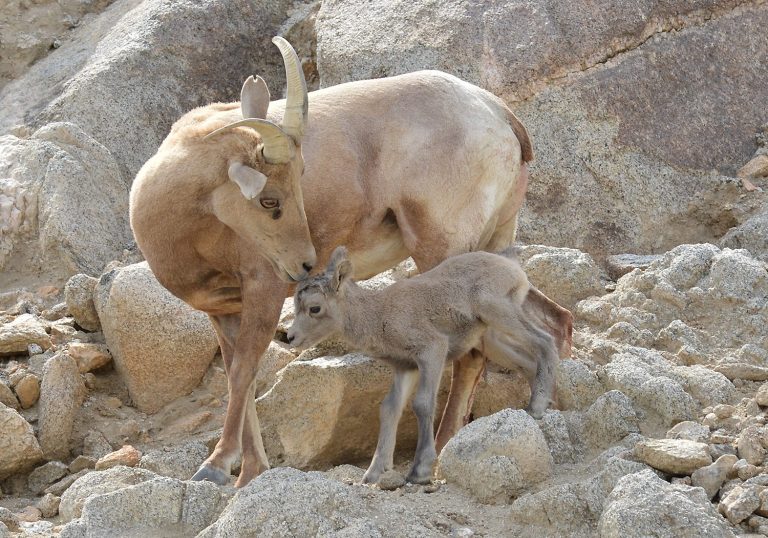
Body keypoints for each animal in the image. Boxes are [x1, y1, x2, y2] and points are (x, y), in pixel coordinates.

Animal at [288, 245, 560, 484]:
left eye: (314, 308)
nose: (290, 337)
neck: (379, 315)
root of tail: (511, 265)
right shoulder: (405, 367)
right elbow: (389, 409)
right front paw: (373, 474)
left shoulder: (432, 350)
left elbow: (422, 404)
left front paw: (419, 471)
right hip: (492, 339)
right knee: (528, 363)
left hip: (498, 311)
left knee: (545, 341)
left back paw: (536, 408)